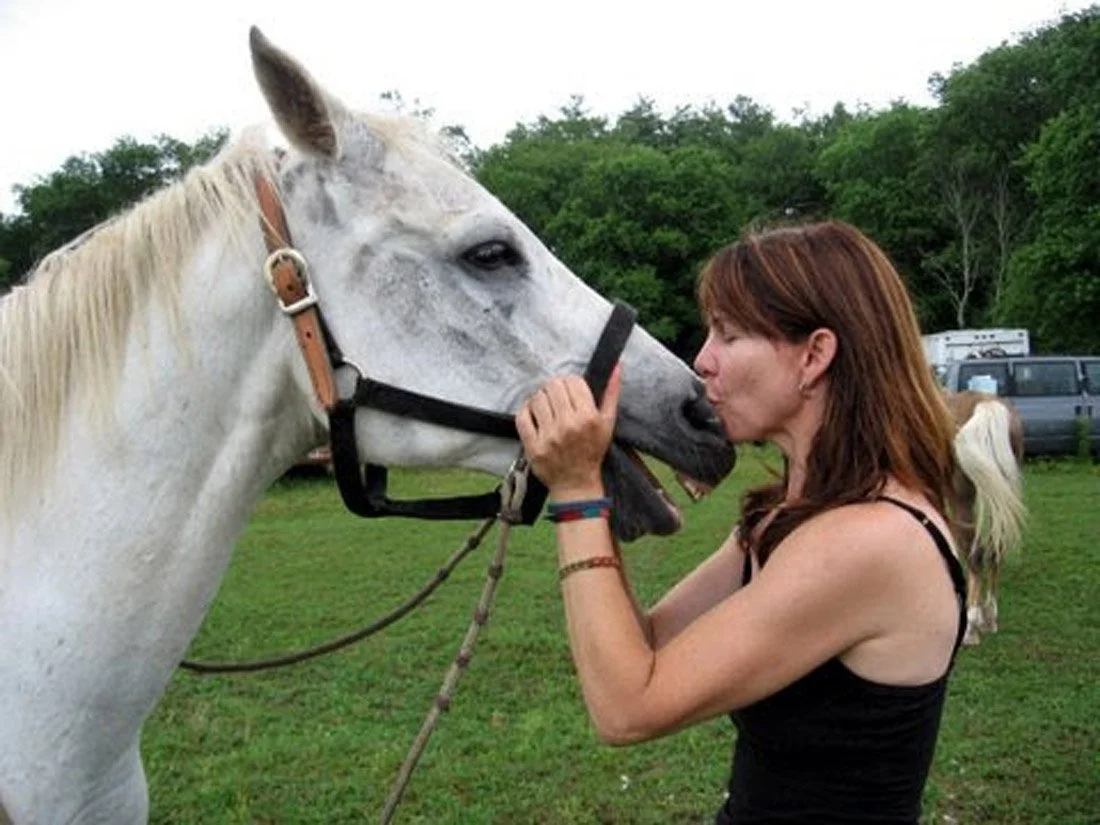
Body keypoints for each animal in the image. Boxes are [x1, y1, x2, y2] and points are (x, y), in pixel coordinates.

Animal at [945, 390, 1027, 646]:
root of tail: (985, 403)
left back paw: (971, 626)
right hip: (1000, 493)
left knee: (976, 555)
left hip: (963, 500)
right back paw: (989, 617)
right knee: (995, 550)